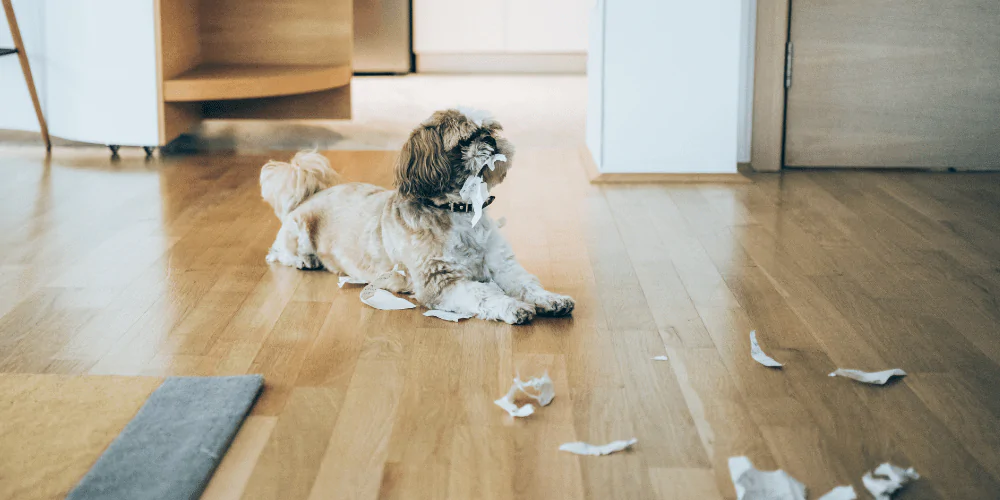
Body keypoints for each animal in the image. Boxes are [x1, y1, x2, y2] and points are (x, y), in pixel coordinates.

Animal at [258, 109, 576, 324]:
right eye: (464, 141)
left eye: (491, 129)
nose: (490, 139)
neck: (459, 212)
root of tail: (311, 194)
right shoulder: (441, 281)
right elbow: (484, 294)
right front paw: (513, 307)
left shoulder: (503, 266)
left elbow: (526, 284)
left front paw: (551, 299)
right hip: (298, 232)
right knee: (277, 253)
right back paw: (304, 260)